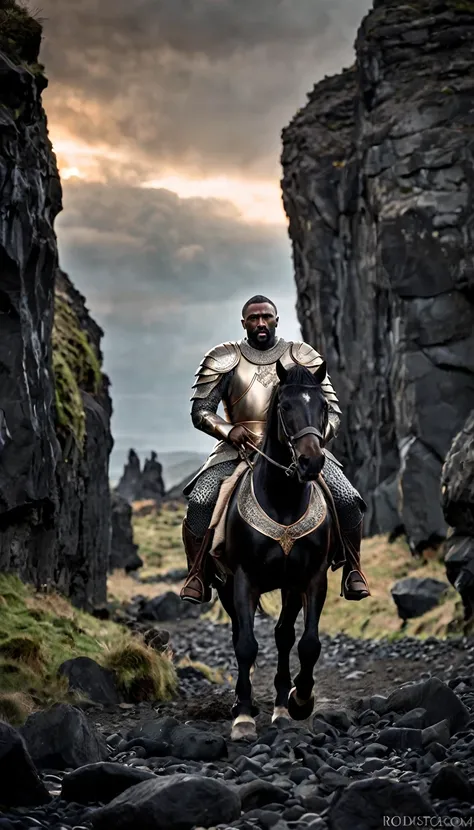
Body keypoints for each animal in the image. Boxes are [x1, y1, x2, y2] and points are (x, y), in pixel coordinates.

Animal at [217, 360, 338, 744]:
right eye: (285, 406)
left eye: (323, 406)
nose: (311, 462)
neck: (283, 499)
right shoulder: (244, 580)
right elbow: (246, 644)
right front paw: (243, 718)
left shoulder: (309, 579)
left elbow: (307, 643)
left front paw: (300, 700)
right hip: (225, 586)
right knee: (239, 634)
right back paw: (243, 703)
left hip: (288, 587)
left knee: (284, 636)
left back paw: (282, 708)